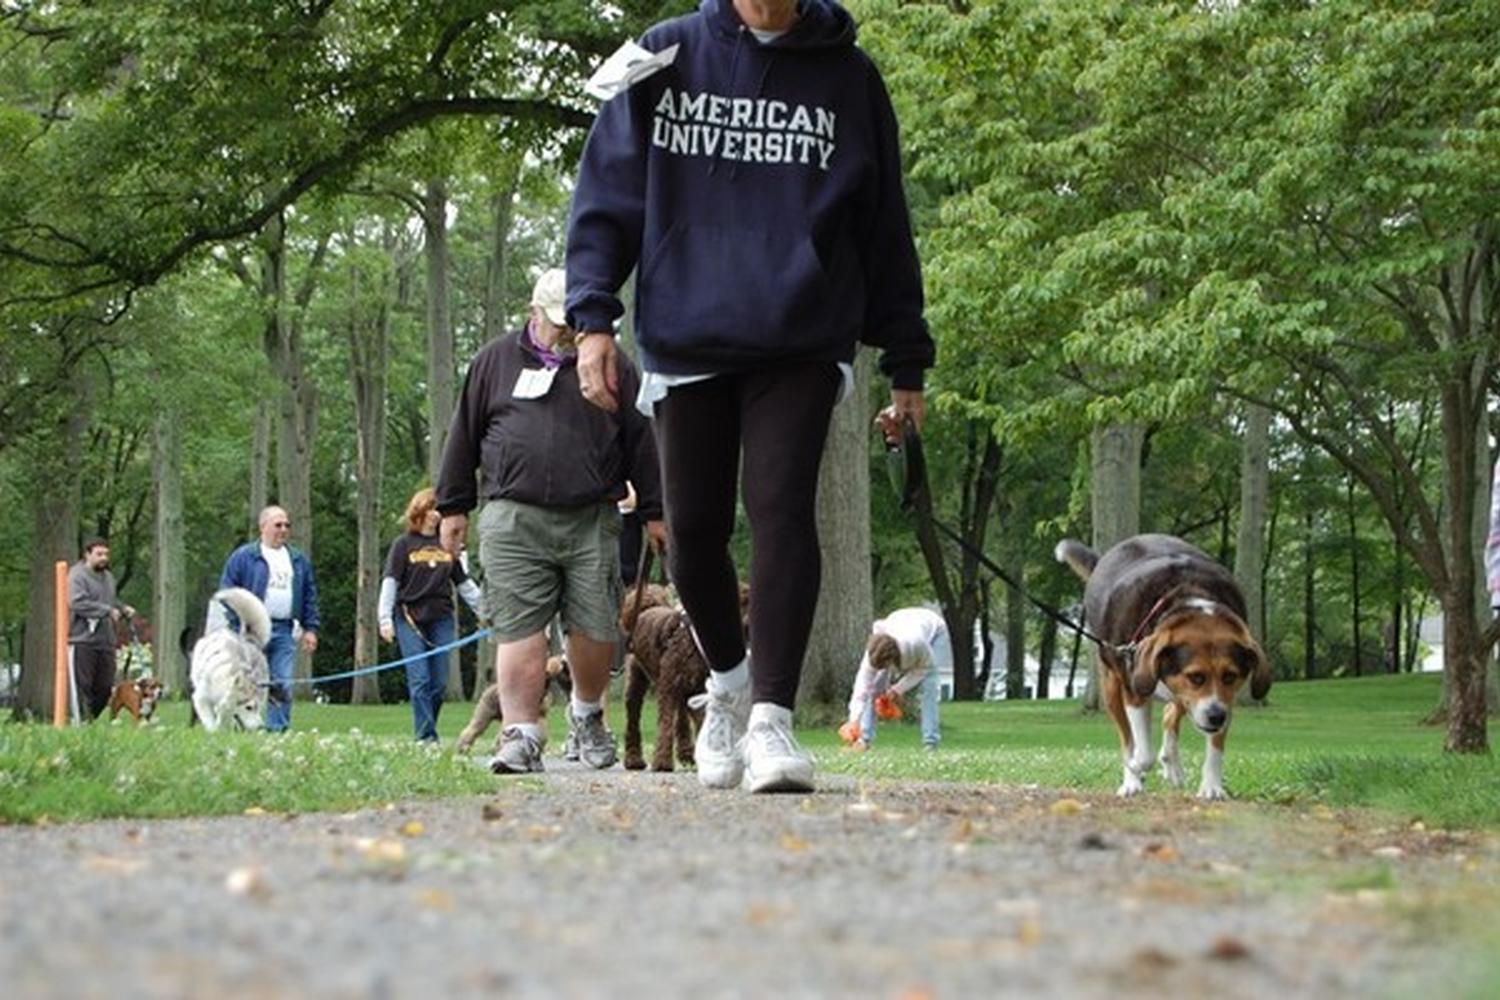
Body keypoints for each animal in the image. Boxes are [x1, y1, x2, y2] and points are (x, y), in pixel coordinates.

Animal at [190, 587, 273, 734]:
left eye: (257, 707)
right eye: (249, 707)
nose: (261, 727)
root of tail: (248, 639)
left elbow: (223, 717)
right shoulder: (200, 698)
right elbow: (211, 722)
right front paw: (214, 731)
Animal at [1056, 536, 1266, 803]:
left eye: (1230, 676)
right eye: (1195, 677)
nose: (1216, 716)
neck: (1189, 596)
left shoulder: (1221, 701)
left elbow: (1215, 746)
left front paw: (1211, 786)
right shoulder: (1136, 691)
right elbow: (1142, 753)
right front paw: (1135, 766)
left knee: (1170, 713)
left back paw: (1172, 765)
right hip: (1111, 684)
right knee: (1127, 736)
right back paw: (1132, 779)